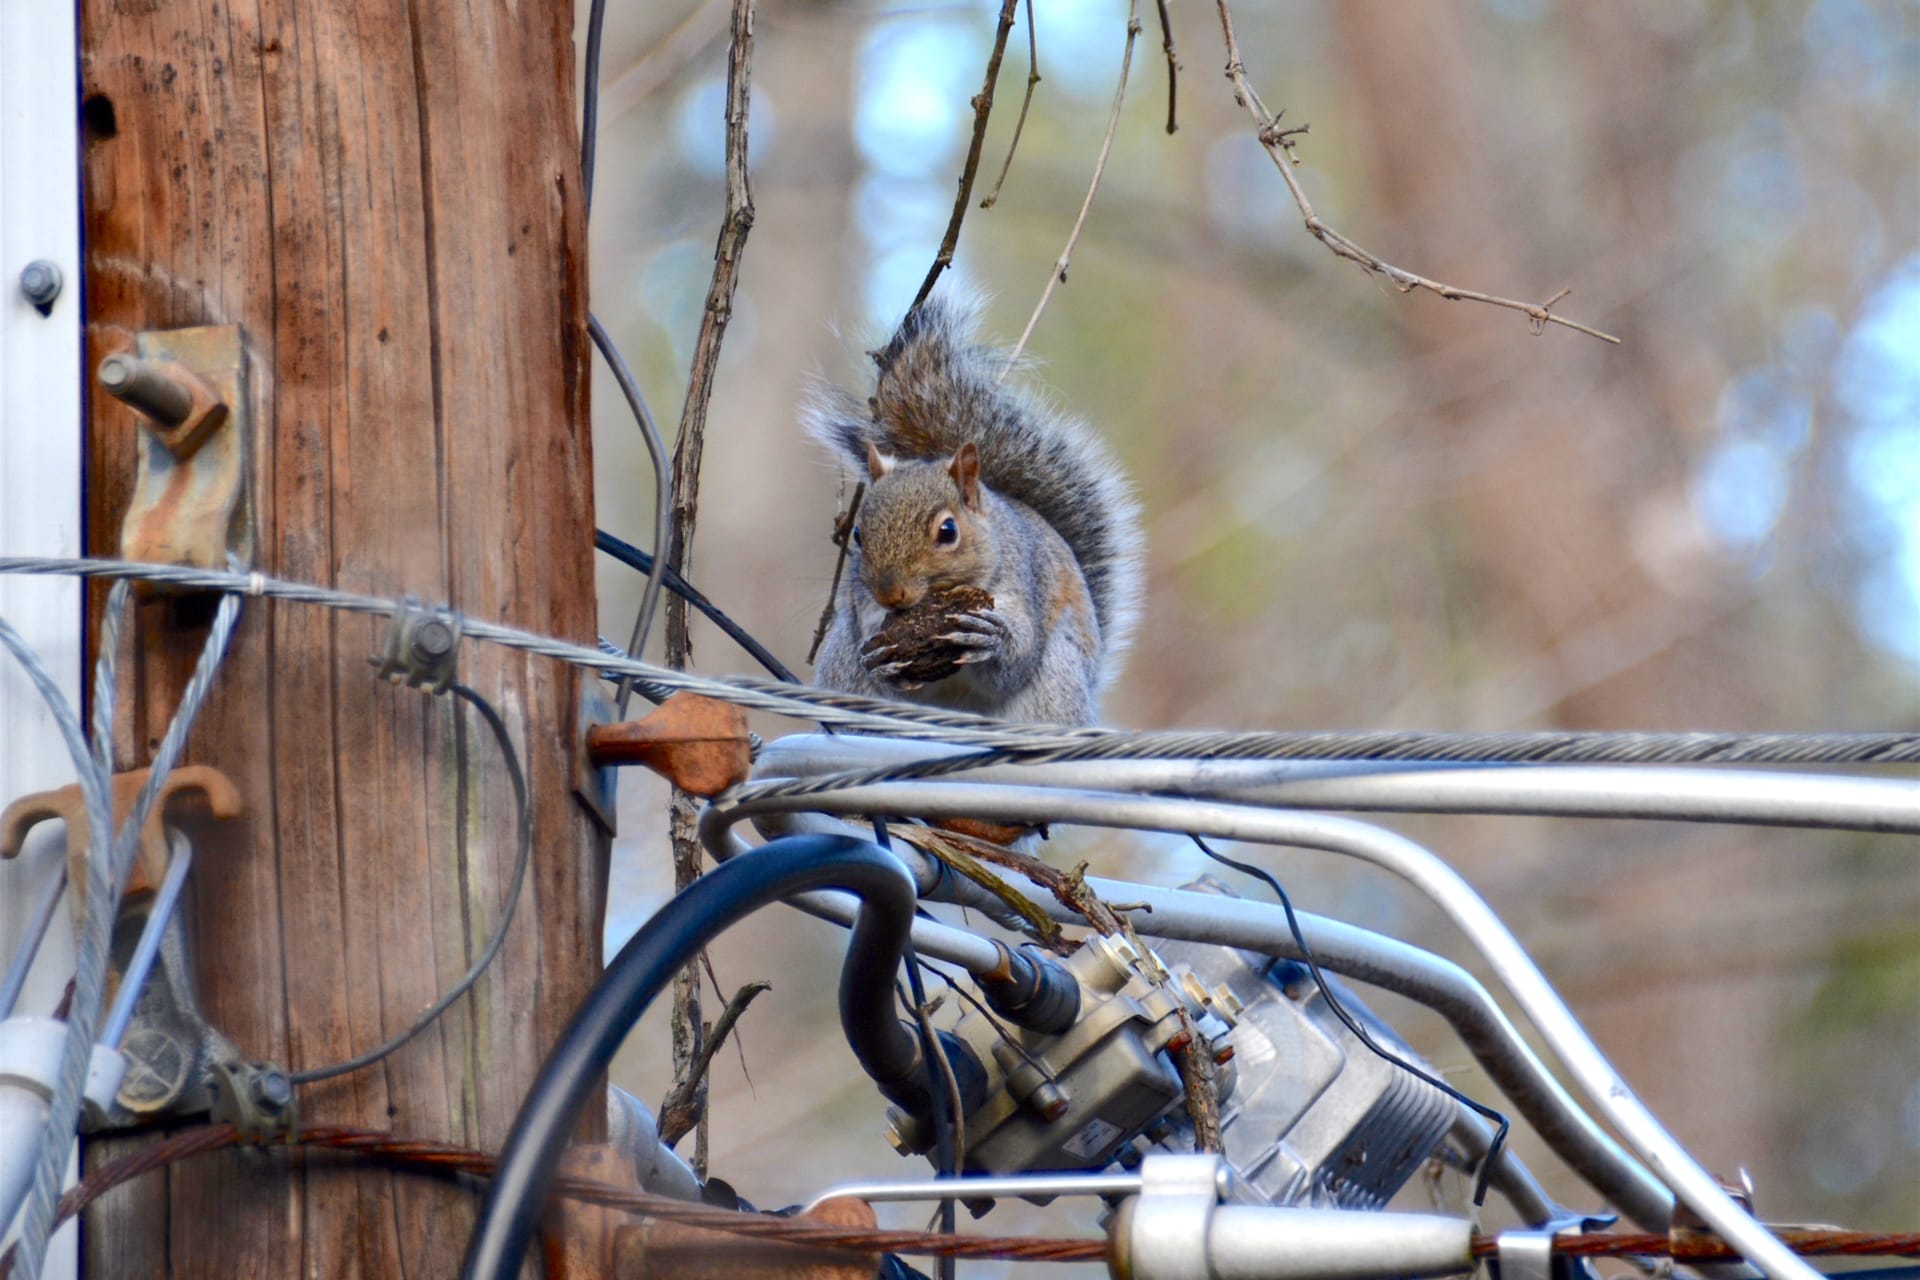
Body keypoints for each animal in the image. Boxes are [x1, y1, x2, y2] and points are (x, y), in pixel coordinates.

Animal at [805, 295, 1143, 726]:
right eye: (859, 535)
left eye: (948, 532)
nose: (890, 595)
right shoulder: (863, 607)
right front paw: (881, 659)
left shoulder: (1027, 585)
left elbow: (1015, 662)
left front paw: (991, 639)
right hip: (841, 661)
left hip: (1058, 678)